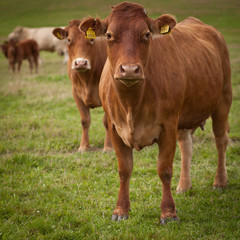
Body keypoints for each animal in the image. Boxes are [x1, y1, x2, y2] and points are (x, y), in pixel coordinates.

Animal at [52, 20, 112, 152]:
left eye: (91, 39)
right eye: (69, 39)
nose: (80, 63)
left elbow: (106, 121)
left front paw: (108, 146)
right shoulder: (76, 93)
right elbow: (85, 120)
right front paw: (84, 146)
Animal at [80, 2, 232, 223]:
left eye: (146, 34)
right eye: (108, 35)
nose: (129, 70)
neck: (132, 104)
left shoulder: (167, 125)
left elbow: (164, 170)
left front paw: (168, 213)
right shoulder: (115, 127)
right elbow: (124, 170)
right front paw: (121, 210)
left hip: (223, 98)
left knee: (220, 140)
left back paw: (219, 182)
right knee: (187, 145)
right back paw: (184, 186)